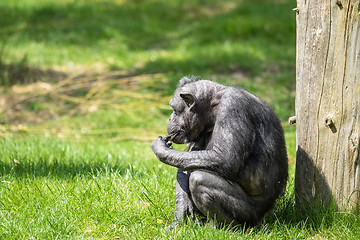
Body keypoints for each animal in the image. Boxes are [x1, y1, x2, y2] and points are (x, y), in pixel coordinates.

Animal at [150, 76, 288, 227]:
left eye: (174, 110)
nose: (170, 118)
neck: (214, 108)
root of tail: (263, 217)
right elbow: (185, 164)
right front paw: (180, 215)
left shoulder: (232, 105)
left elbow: (224, 158)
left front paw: (160, 148)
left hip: (251, 214)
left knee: (200, 179)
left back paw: (220, 227)